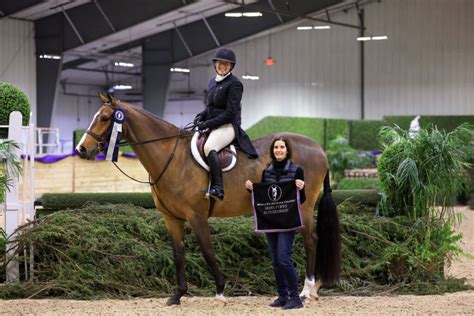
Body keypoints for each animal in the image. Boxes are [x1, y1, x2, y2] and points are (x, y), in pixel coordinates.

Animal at [76, 94, 338, 306]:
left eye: (105, 118)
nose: (81, 149)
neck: (172, 157)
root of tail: (319, 148)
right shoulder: (171, 218)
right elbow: (178, 254)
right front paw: (177, 295)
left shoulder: (197, 216)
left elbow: (208, 252)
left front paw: (220, 291)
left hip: (303, 207)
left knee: (311, 241)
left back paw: (307, 290)